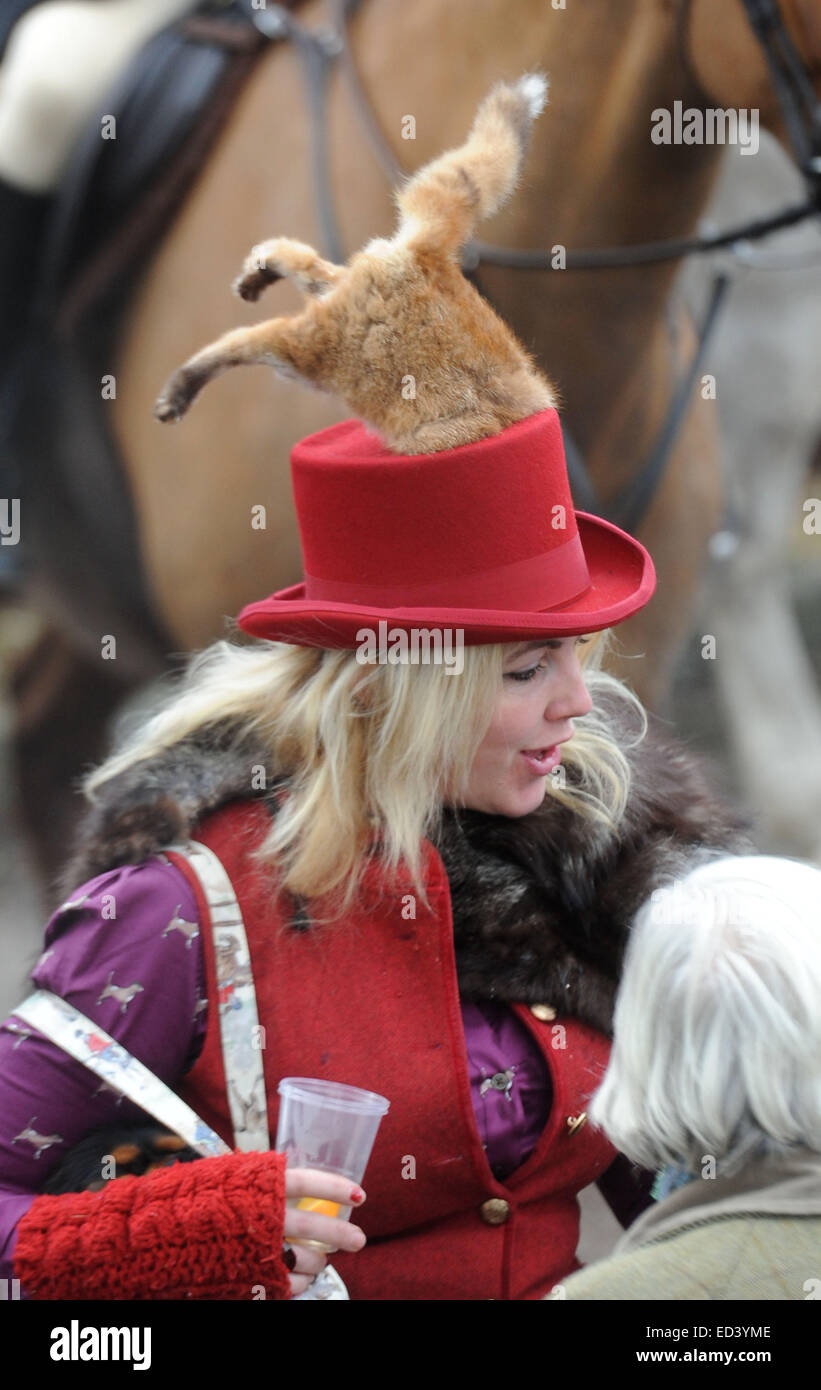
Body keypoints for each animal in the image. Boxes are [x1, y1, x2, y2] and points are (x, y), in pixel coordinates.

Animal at [152, 73, 558, 453]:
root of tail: (425, 254)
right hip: (310, 356)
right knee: (240, 338)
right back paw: (179, 391)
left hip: (324, 330)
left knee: (305, 264)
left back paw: (258, 273)